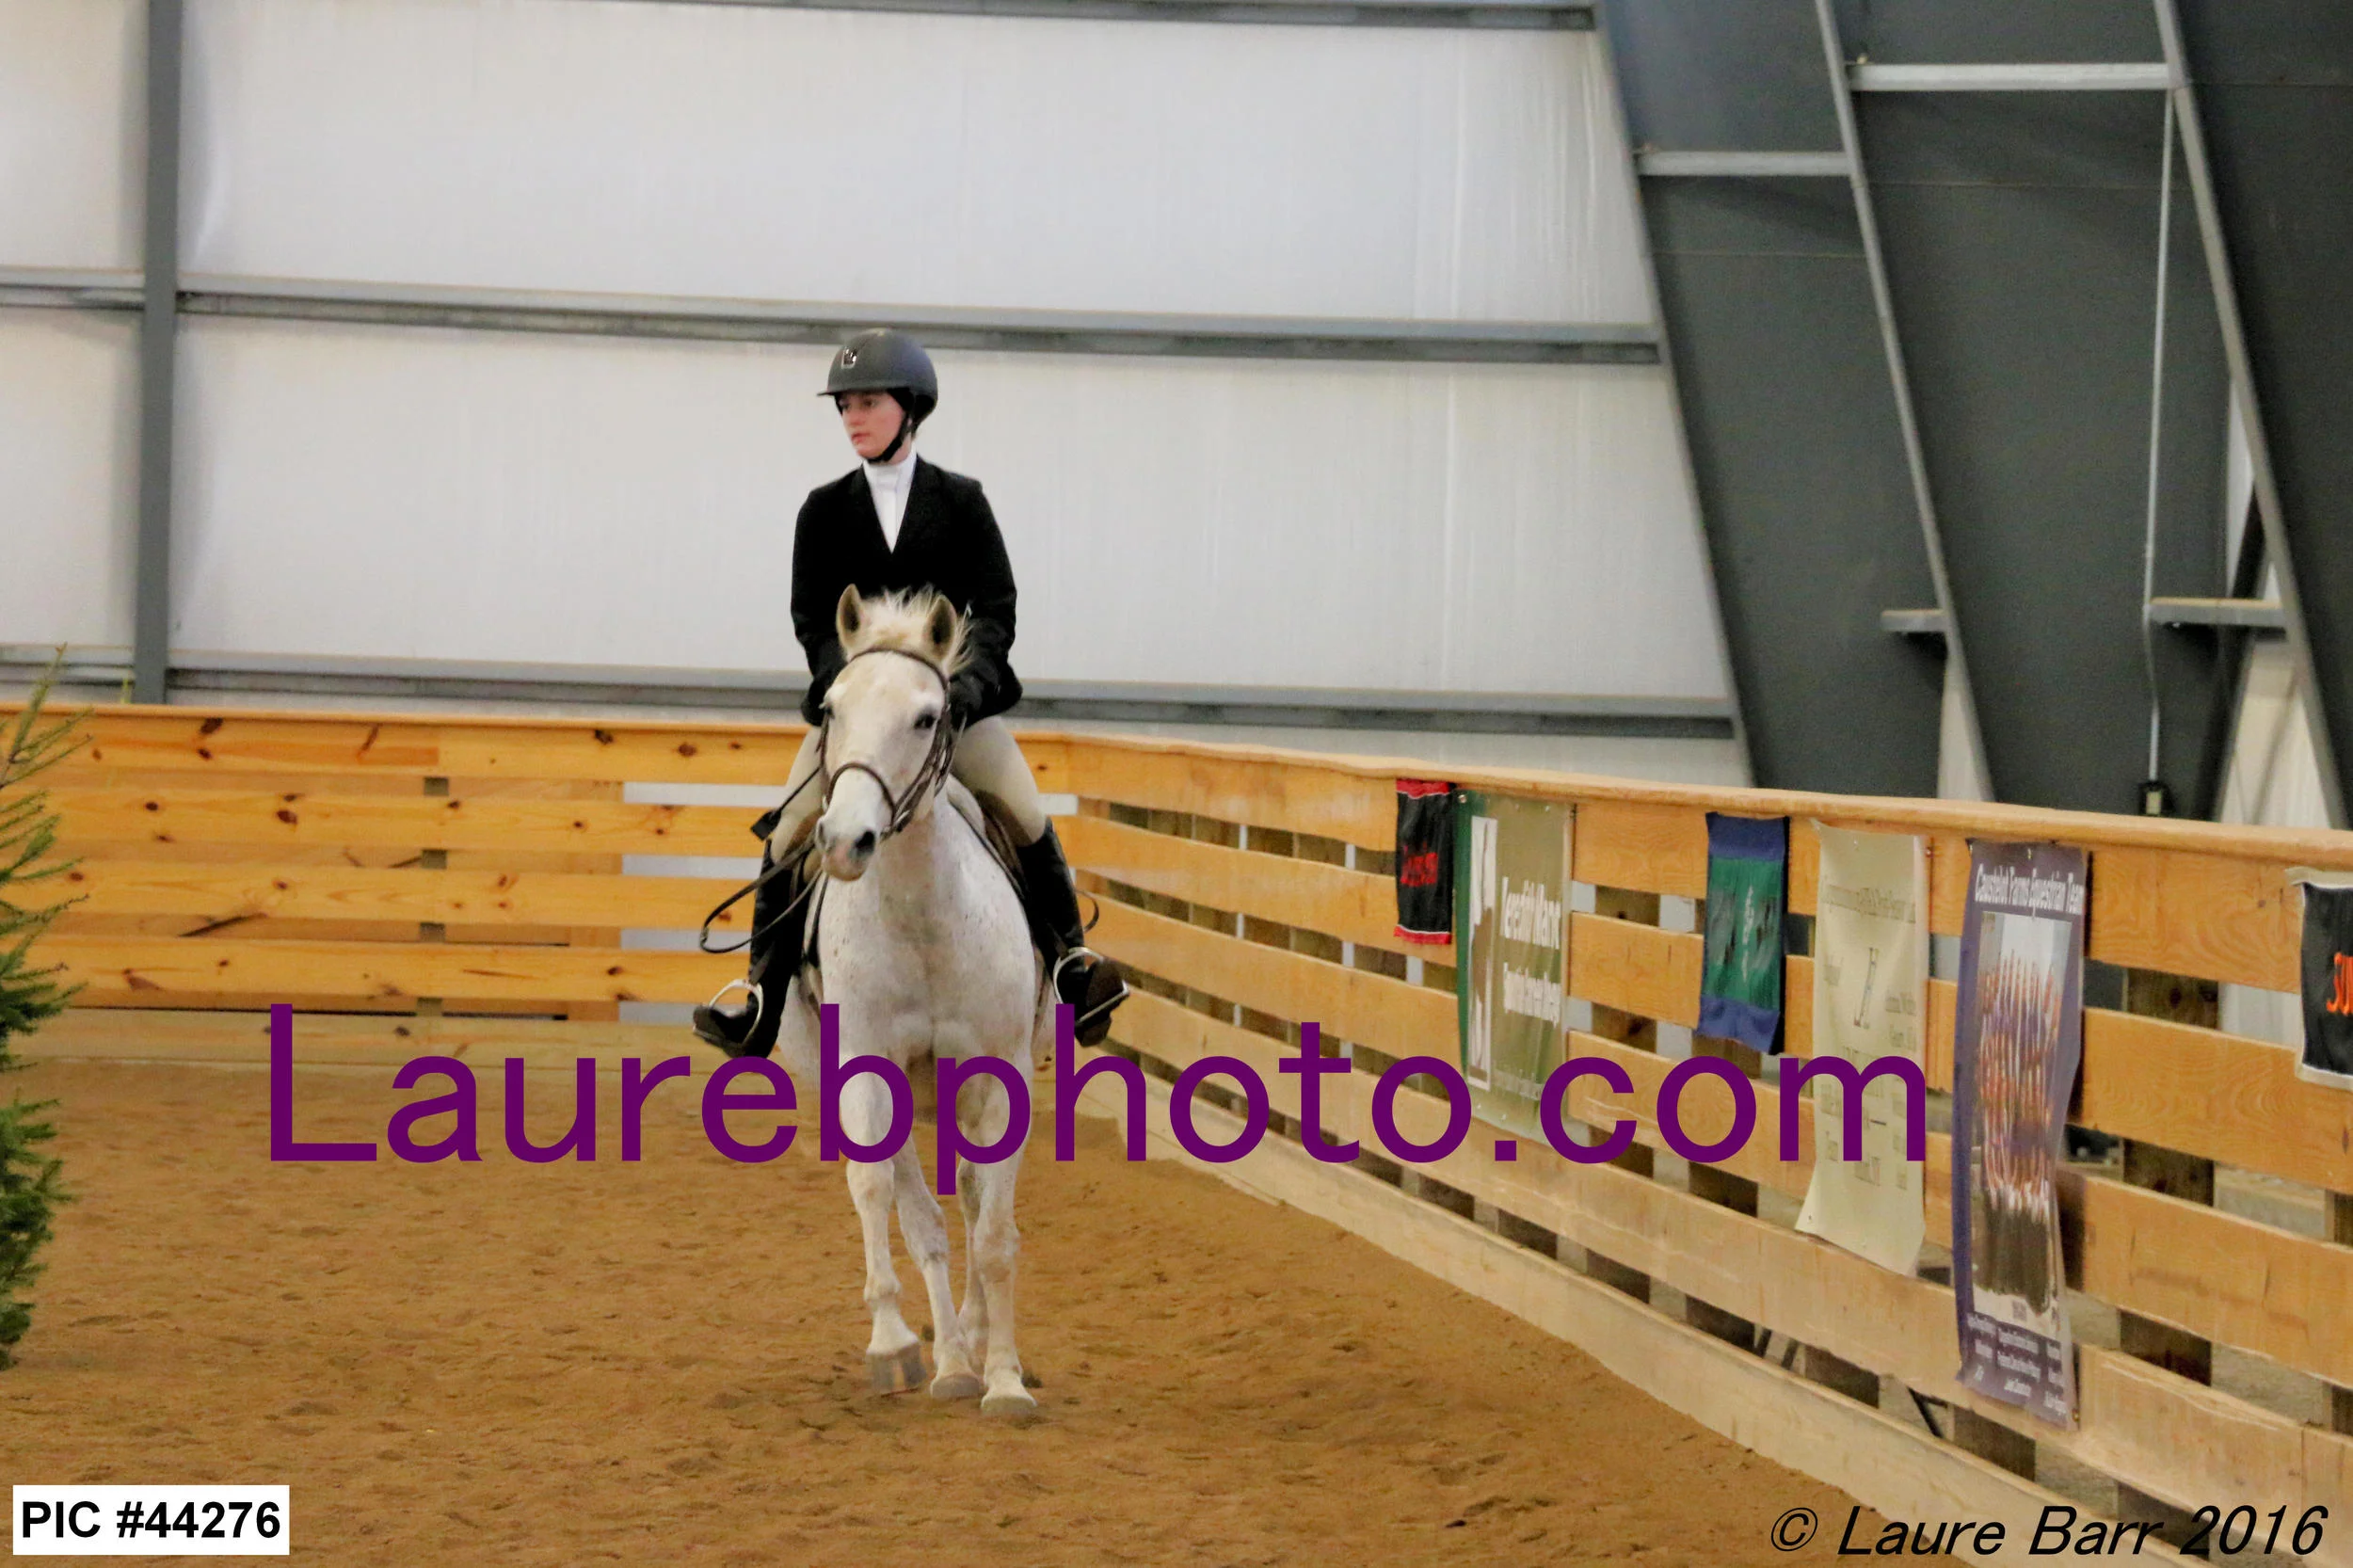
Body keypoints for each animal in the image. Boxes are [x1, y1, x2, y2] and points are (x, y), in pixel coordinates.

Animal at [767, 585, 1046, 1417]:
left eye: (928, 717)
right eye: (831, 709)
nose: (843, 842)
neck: (924, 918)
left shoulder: (1002, 1079)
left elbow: (995, 1234)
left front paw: (1005, 1380)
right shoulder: (866, 1070)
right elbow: (884, 1196)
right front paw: (899, 1349)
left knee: (972, 1202)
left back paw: (976, 1344)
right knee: (918, 1207)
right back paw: (949, 1357)